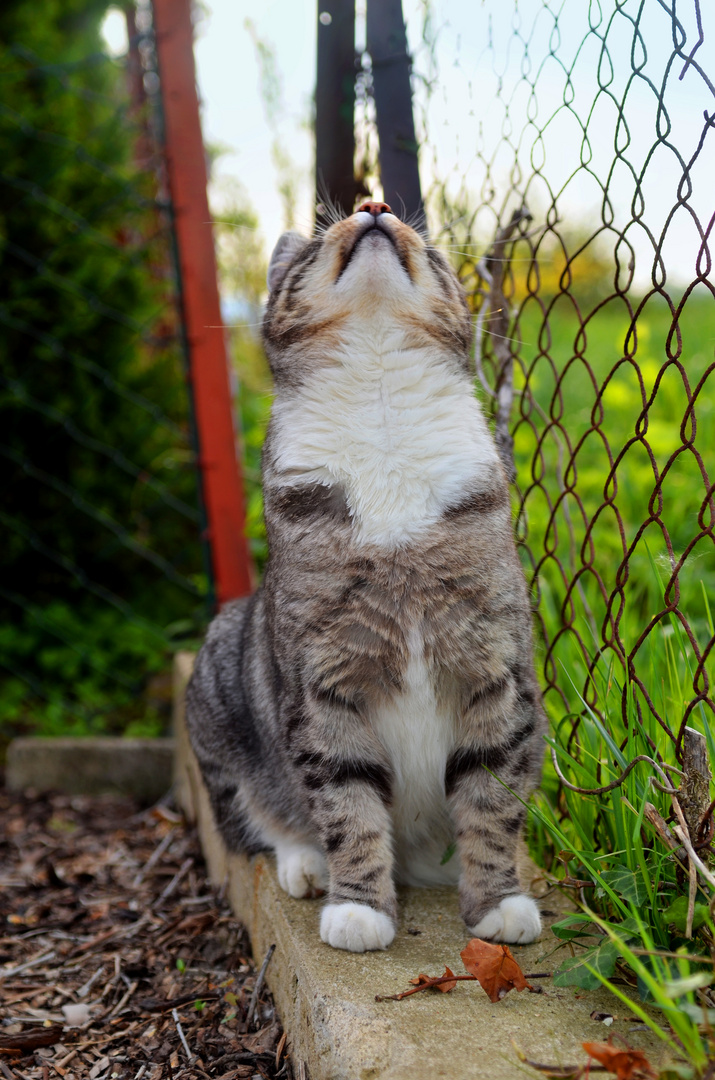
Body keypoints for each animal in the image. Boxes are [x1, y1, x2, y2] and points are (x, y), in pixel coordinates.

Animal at [185, 200, 548, 954]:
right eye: (318, 236)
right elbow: (345, 800)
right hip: (216, 691)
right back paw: (306, 865)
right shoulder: (323, 679)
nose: (374, 205)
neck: (382, 414)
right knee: (255, 821)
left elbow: (492, 795)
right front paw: (360, 908)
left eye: (425, 240)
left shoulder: (494, 665)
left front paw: (498, 903)